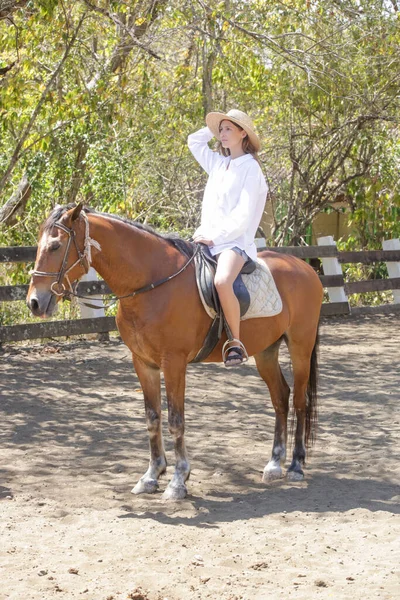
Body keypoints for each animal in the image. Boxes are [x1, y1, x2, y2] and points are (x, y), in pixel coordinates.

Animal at [26, 204, 324, 500]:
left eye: (55, 246)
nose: (34, 303)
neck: (150, 283)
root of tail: (305, 268)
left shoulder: (174, 363)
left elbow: (175, 420)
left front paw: (178, 480)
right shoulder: (143, 362)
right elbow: (152, 418)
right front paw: (151, 475)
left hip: (300, 345)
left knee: (300, 400)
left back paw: (296, 465)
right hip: (265, 351)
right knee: (280, 397)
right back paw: (274, 463)